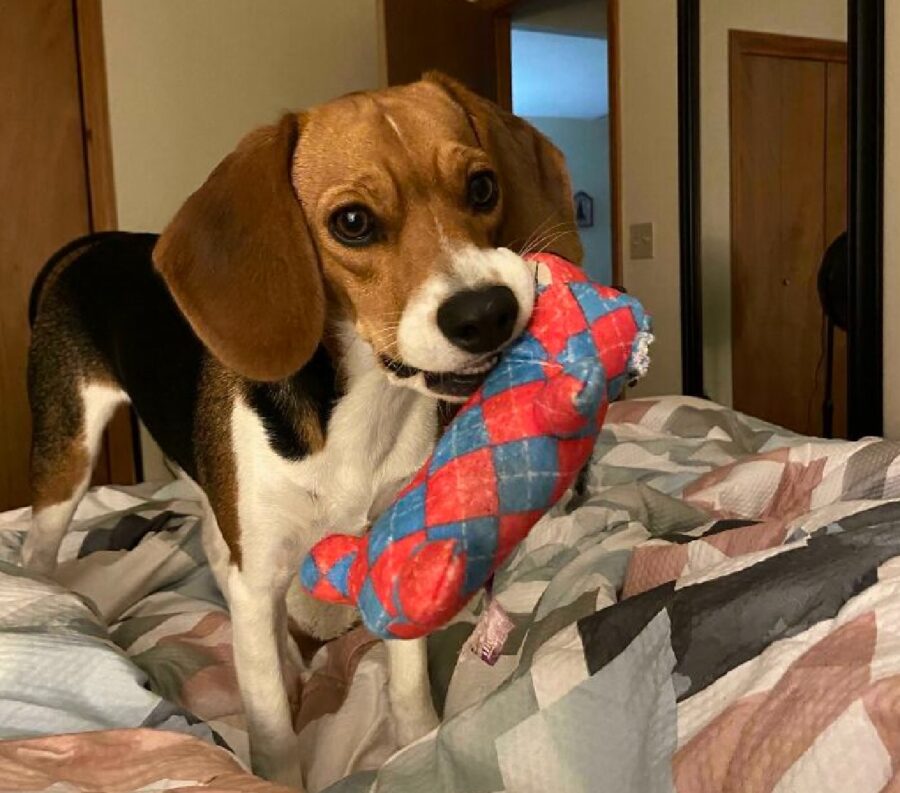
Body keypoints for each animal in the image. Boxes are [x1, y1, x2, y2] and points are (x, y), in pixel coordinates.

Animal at [24, 72, 584, 784]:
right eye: (352, 222)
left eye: (482, 187)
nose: (486, 313)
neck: (362, 410)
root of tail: (90, 244)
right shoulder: (258, 566)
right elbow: (271, 727)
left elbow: (405, 680)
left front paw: (416, 748)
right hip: (66, 459)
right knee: (43, 550)